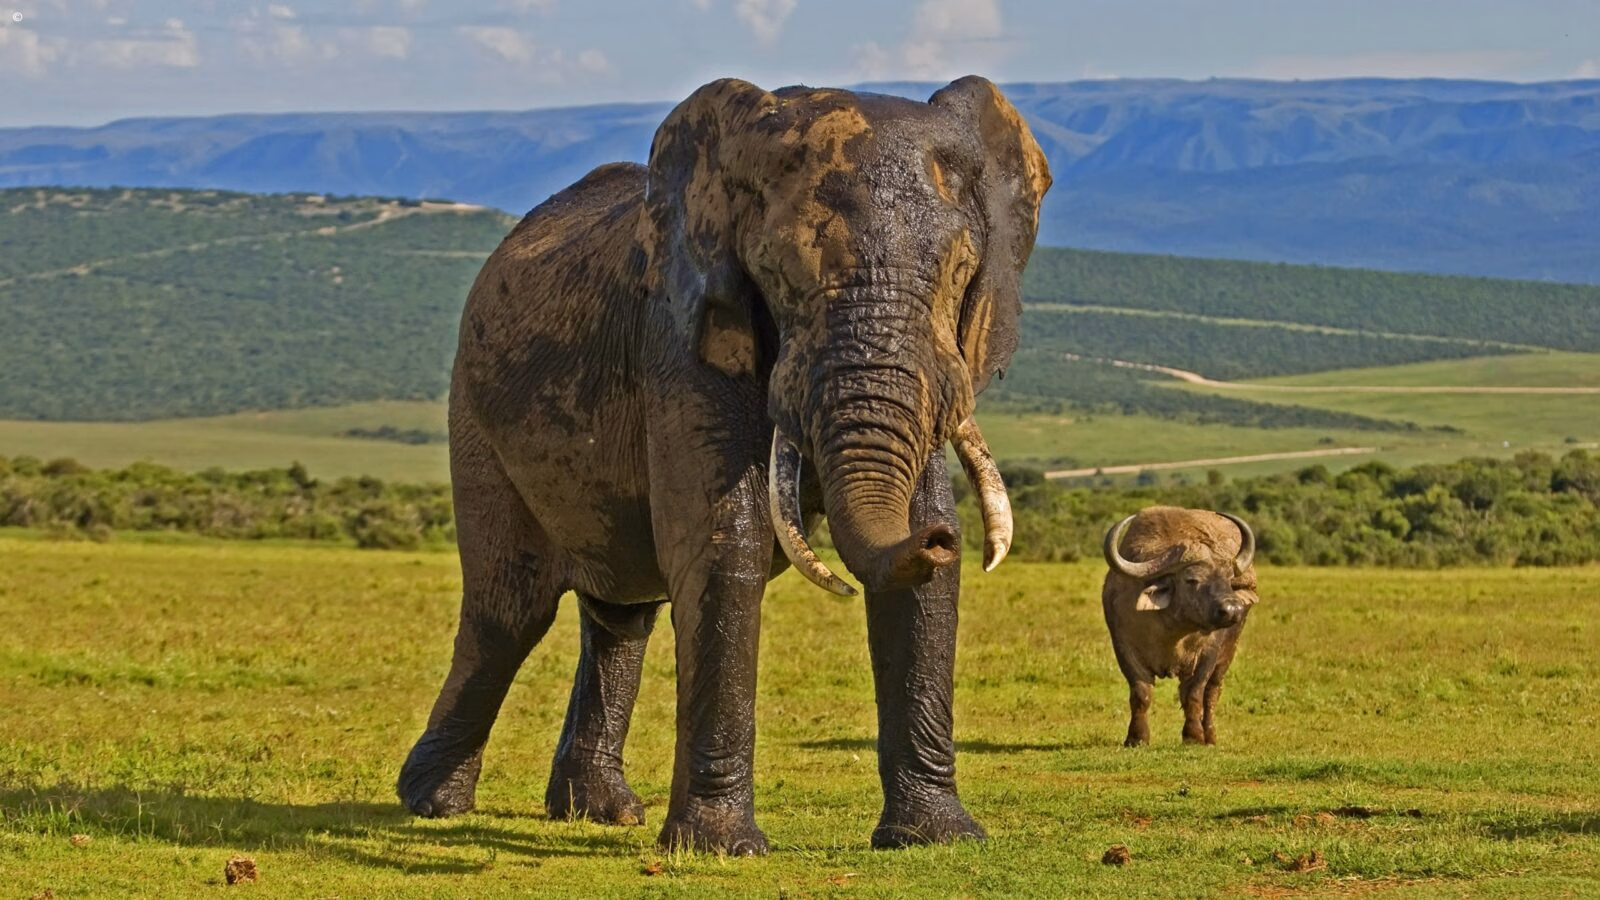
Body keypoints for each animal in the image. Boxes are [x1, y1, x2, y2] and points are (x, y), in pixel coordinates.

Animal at [397, 75, 1051, 854]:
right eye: (782, 271)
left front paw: (939, 839)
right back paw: (431, 803)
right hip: (476, 415)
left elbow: (923, 579)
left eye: (958, 270)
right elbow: (722, 545)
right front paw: (720, 849)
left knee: (621, 615)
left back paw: (602, 812)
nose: (948, 542)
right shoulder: (680, 335)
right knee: (508, 612)